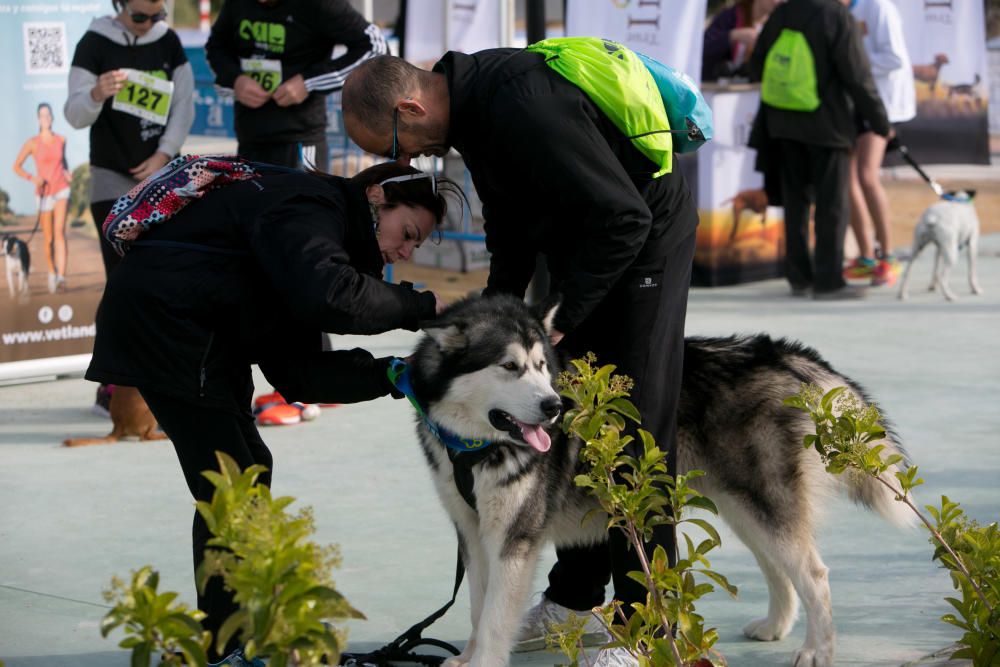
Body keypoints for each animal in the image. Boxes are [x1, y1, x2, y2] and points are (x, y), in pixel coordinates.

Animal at [406, 296, 916, 667]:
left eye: (541, 366)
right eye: (509, 367)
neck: (473, 446)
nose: (554, 407)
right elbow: (479, 607)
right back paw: (774, 625)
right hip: (742, 508)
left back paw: (817, 651)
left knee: (813, 573)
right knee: (779, 568)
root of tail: (780, 356)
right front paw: (467, 657)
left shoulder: (513, 536)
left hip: (763, 502)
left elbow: (495, 615)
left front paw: (482, 662)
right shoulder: (474, 532)